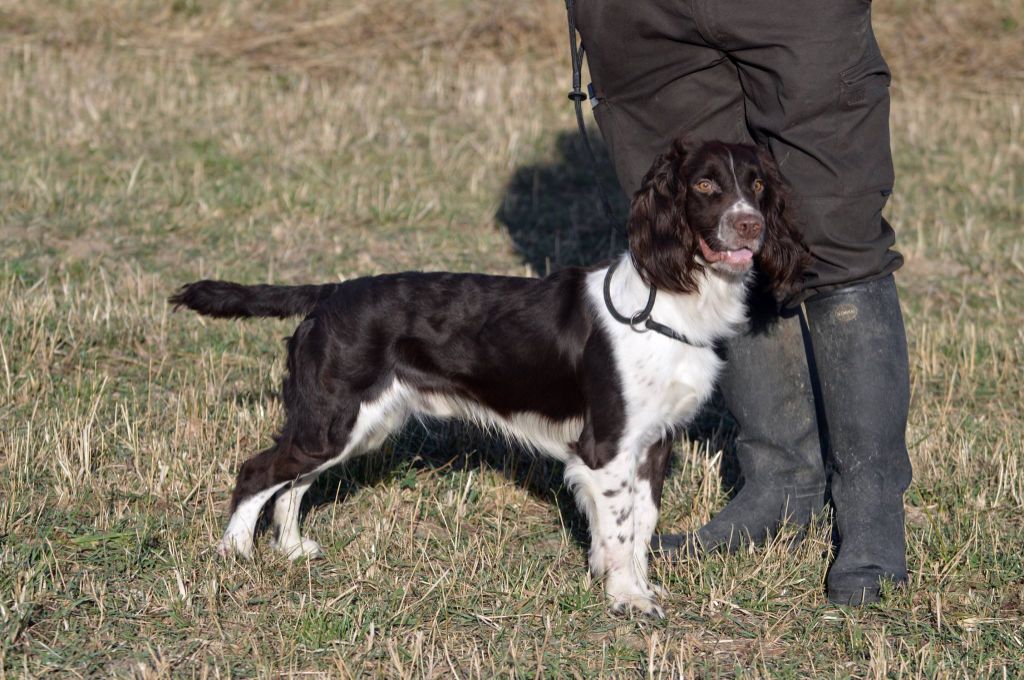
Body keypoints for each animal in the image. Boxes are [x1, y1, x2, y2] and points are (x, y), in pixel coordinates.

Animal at [167, 137, 806, 614]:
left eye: (757, 185)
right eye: (705, 186)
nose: (749, 226)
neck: (669, 301)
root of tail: (328, 295)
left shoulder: (654, 442)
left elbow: (640, 523)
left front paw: (629, 581)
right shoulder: (605, 446)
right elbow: (623, 528)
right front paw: (628, 598)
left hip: (354, 423)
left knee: (293, 485)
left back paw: (294, 549)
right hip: (332, 418)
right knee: (257, 472)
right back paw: (235, 555)